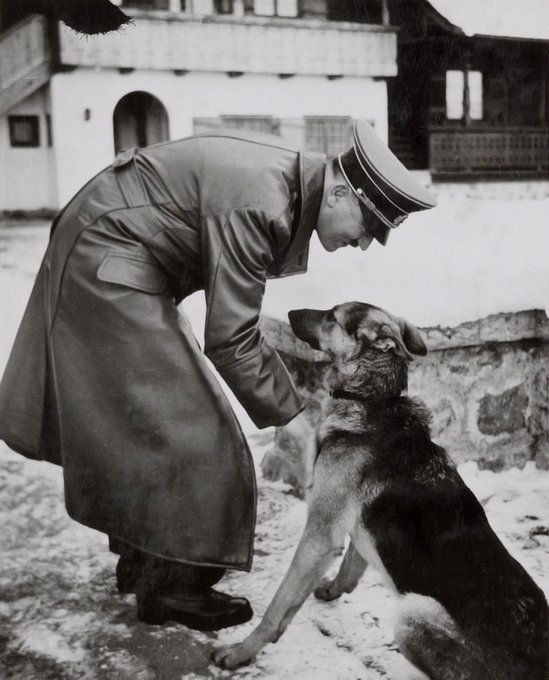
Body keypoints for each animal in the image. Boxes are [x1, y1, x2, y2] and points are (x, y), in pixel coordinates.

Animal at [214, 304, 548, 680]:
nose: (288, 312)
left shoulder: (320, 534)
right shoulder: (356, 527)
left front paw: (241, 651)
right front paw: (333, 589)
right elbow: (351, 565)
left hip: (412, 614)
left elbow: (279, 603)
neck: (372, 399)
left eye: (332, 316)